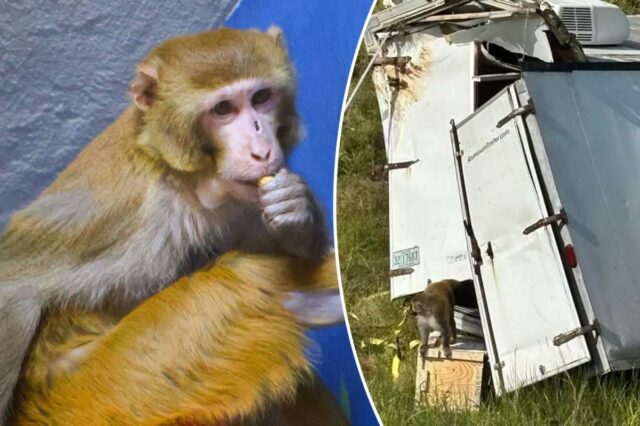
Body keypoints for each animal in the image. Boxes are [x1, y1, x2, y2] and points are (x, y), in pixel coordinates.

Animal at [0, 26, 334, 422]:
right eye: (223, 109)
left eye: (262, 97)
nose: (261, 150)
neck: (185, 180)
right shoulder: (121, 213)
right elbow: (12, 287)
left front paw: (296, 206)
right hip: (101, 387)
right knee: (239, 278)